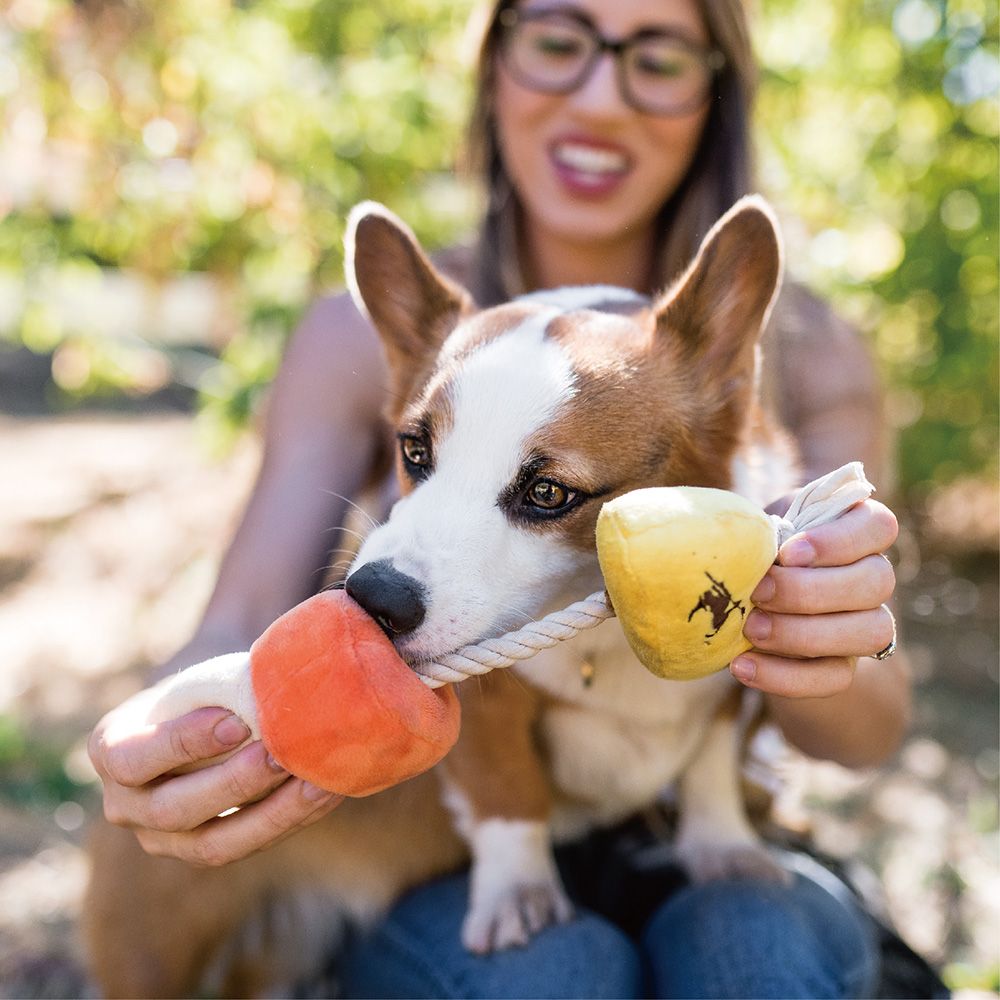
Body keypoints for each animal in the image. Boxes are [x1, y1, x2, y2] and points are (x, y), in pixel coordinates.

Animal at [84, 197, 796, 1000]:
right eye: (413, 452)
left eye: (548, 493)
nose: (371, 599)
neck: (603, 637)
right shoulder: (489, 715)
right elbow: (508, 791)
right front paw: (519, 897)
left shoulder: (730, 691)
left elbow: (709, 763)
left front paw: (724, 849)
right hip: (157, 943)